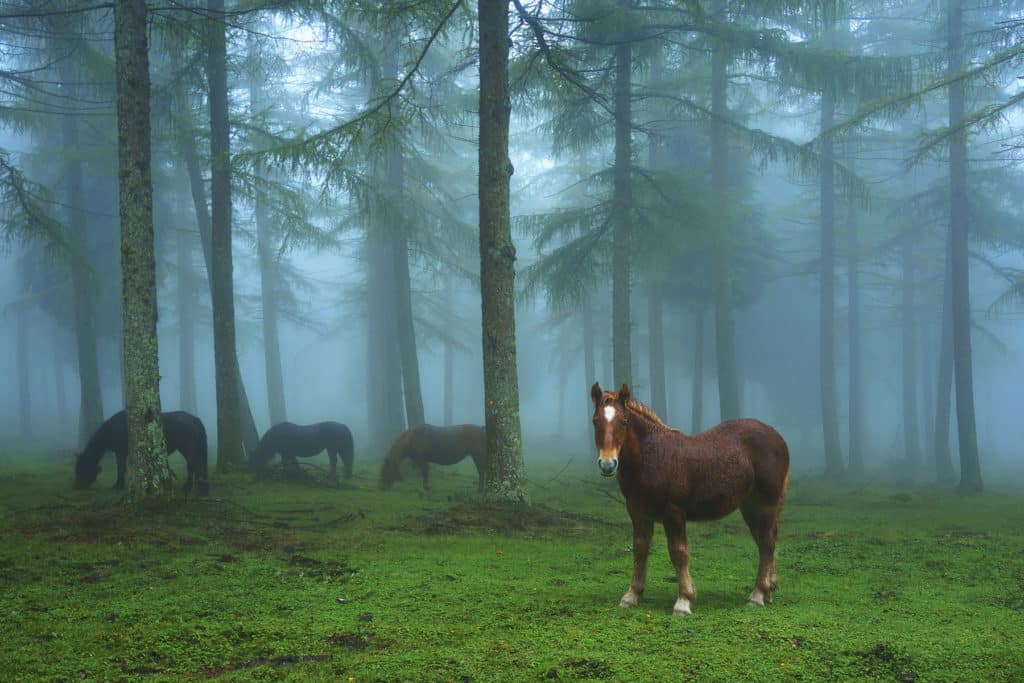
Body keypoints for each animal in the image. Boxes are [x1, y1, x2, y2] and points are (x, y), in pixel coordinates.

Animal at [74, 411, 209, 497]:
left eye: (82, 468)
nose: (78, 486)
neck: (112, 429)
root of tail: (193, 419)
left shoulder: (120, 453)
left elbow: (121, 469)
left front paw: (118, 485)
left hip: (187, 448)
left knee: (193, 465)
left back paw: (191, 488)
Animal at [593, 382, 790, 618]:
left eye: (623, 421)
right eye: (595, 420)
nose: (607, 464)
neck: (652, 456)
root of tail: (777, 437)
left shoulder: (674, 513)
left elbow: (679, 552)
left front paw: (684, 601)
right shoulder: (638, 512)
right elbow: (640, 549)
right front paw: (632, 596)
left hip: (766, 503)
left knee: (767, 542)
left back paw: (758, 594)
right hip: (750, 507)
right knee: (764, 540)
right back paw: (769, 590)